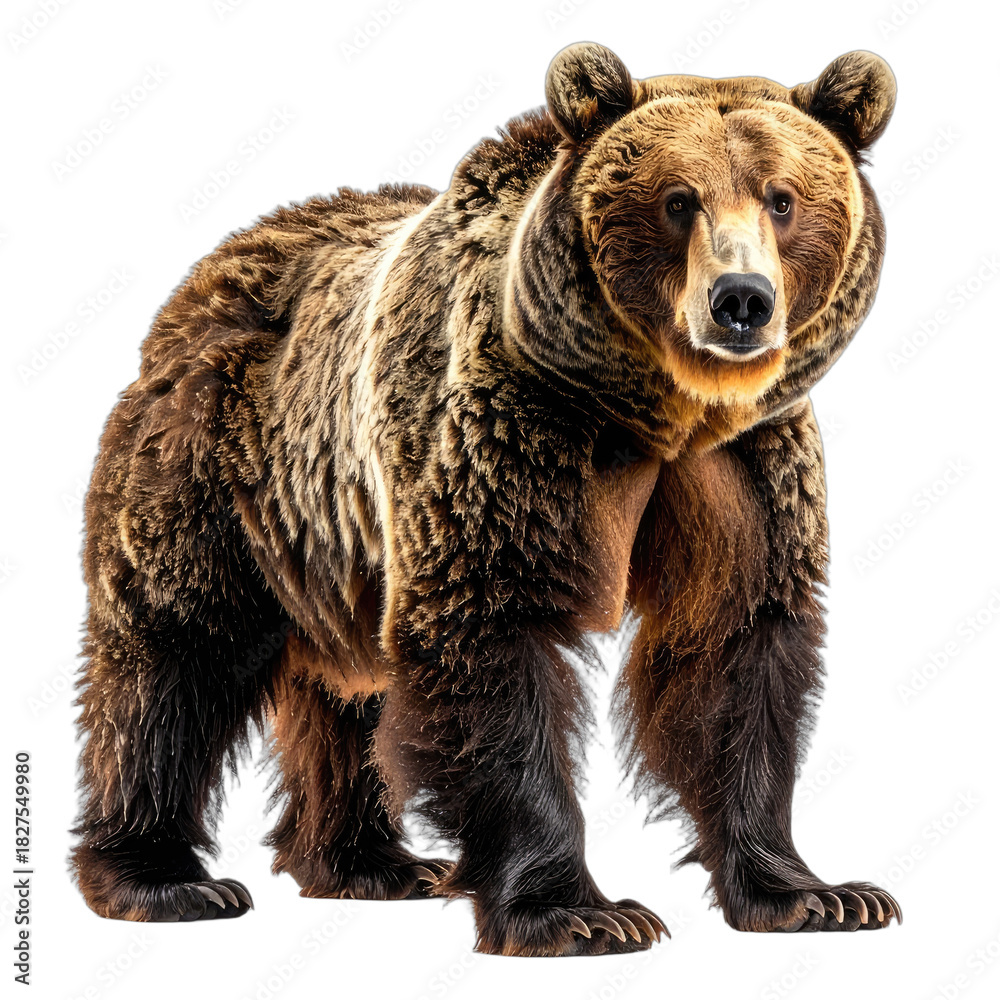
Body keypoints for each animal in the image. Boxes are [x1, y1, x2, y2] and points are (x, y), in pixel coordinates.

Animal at [71, 42, 900, 956]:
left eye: (782, 198)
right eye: (677, 200)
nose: (742, 301)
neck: (658, 410)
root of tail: (205, 273)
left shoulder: (741, 469)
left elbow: (734, 647)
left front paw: (817, 894)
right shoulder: (506, 430)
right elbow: (491, 632)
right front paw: (577, 911)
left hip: (335, 539)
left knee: (352, 687)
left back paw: (370, 864)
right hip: (217, 467)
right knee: (174, 653)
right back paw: (164, 877)